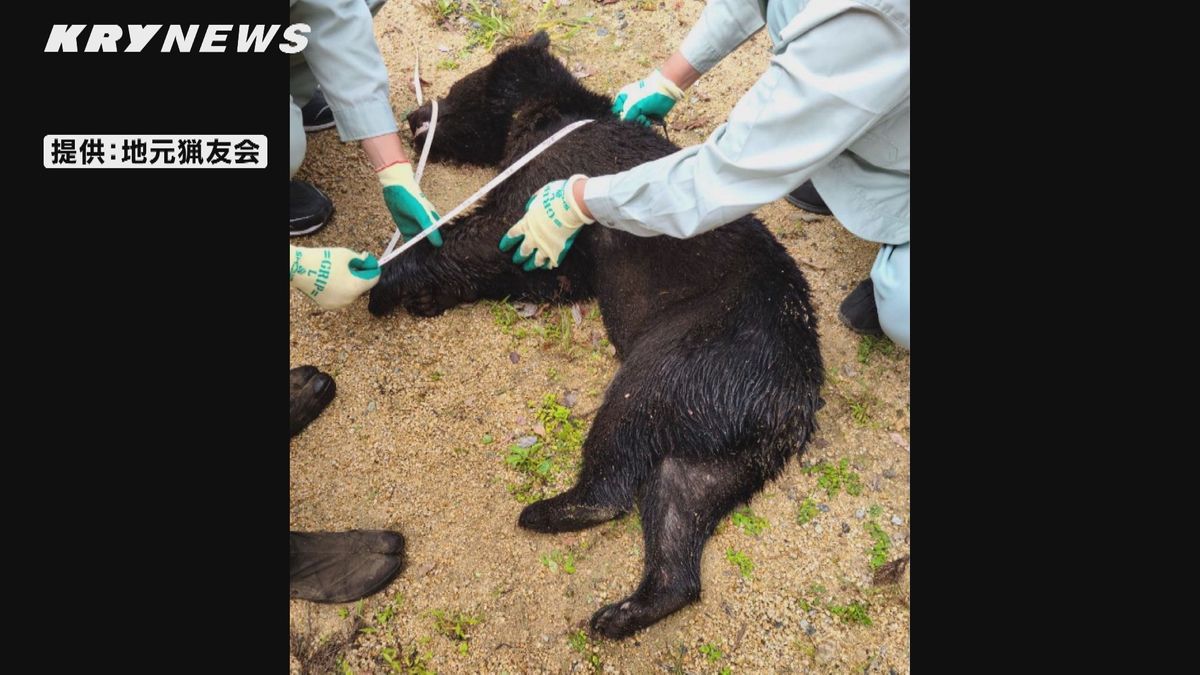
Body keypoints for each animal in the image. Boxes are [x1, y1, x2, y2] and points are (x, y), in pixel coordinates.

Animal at [367, 31, 825, 638]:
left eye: (461, 87)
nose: (413, 116)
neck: (552, 115)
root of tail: (791, 399)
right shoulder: (564, 268)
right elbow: (521, 272)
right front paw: (424, 296)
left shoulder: (531, 199)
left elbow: (474, 241)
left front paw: (386, 280)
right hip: (726, 449)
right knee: (680, 514)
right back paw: (627, 609)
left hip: (674, 364)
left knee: (616, 468)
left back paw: (545, 511)